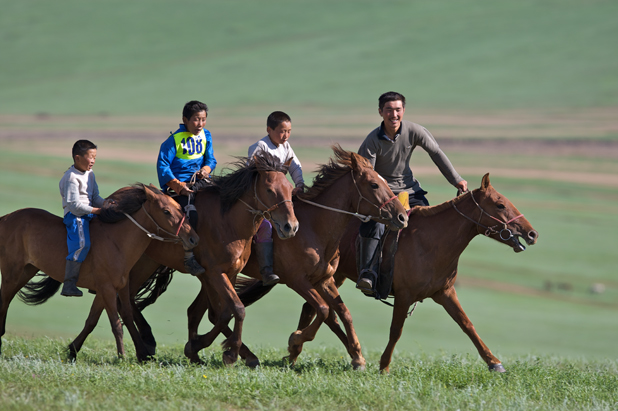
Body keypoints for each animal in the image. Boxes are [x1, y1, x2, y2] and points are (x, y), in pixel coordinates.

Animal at [0, 184, 197, 360]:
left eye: (180, 207)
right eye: (166, 211)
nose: (193, 238)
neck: (117, 241)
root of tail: (5, 218)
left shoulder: (116, 288)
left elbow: (106, 319)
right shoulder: (107, 289)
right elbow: (116, 324)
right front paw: (122, 356)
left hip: (26, 271)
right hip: (11, 273)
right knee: (4, 300)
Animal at [134, 146, 410, 370]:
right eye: (374, 185)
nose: (402, 217)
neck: (315, 227)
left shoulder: (324, 279)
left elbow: (342, 312)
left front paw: (357, 357)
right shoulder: (297, 280)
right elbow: (323, 310)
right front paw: (295, 341)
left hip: (208, 276)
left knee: (201, 312)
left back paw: (203, 350)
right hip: (153, 265)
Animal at [235, 174, 536, 374]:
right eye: (499, 205)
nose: (531, 233)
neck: (432, 241)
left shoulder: (445, 293)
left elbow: (468, 325)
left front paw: (494, 362)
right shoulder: (404, 295)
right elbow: (396, 330)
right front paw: (383, 366)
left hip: (329, 278)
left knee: (316, 310)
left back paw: (297, 353)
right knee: (321, 311)